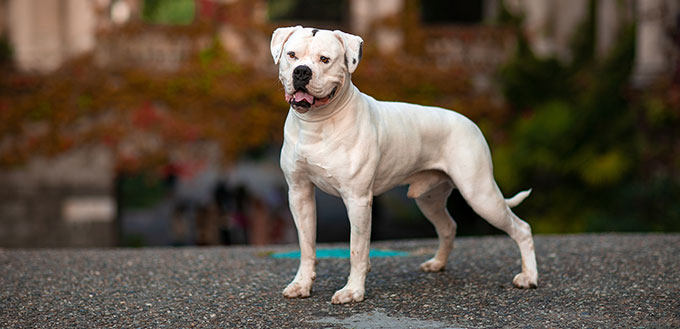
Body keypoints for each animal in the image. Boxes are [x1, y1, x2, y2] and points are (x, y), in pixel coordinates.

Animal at [270, 25, 536, 302]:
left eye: (325, 59)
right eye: (291, 55)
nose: (302, 71)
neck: (317, 124)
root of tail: (470, 123)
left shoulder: (357, 199)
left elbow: (357, 250)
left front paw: (353, 291)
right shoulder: (299, 194)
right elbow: (306, 246)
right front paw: (301, 284)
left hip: (481, 195)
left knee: (522, 228)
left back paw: (528, 277)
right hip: (429, 199)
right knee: (448, 226)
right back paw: (438, 263)